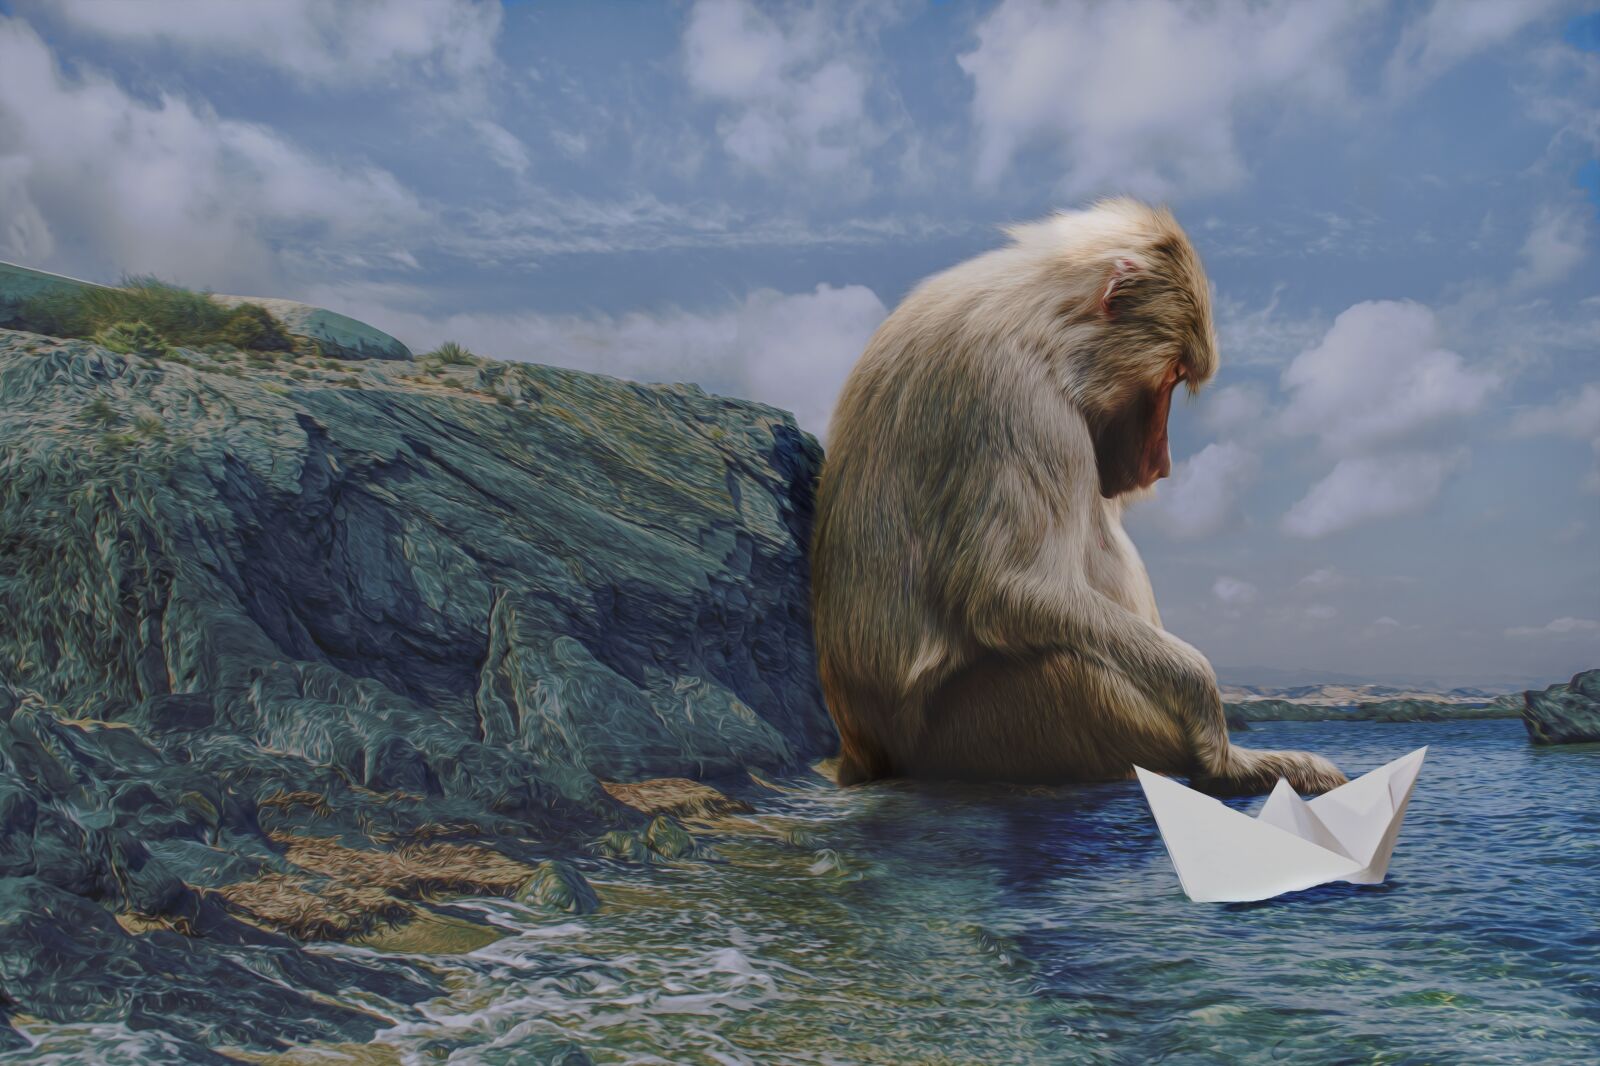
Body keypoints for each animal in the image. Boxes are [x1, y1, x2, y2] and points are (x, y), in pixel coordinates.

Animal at [809, 198, 1346, 797]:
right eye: (1170, 376)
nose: (1162, 464)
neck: (1044, 320)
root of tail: (865, 752)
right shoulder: (1024, 404)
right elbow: (1009, 591)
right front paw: (1216, 728)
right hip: (982, 731)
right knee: (1069, 667)